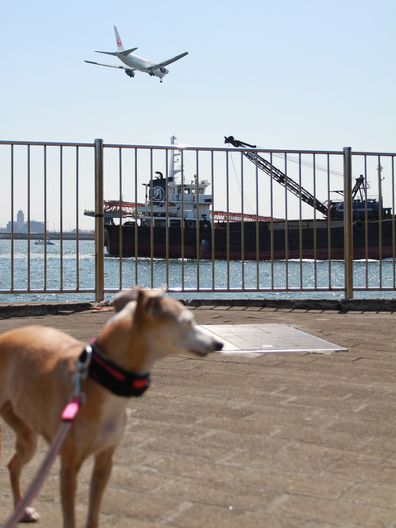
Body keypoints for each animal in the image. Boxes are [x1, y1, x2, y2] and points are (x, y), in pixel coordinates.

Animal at [0, 288, 223, 528]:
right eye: (188, 322)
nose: (219, 344)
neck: (100, 378)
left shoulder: (105, 461)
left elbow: (94, 513)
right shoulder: (68, 467)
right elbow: (69, 517)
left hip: (26, 432)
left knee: (13, 465)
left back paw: (22, 511)